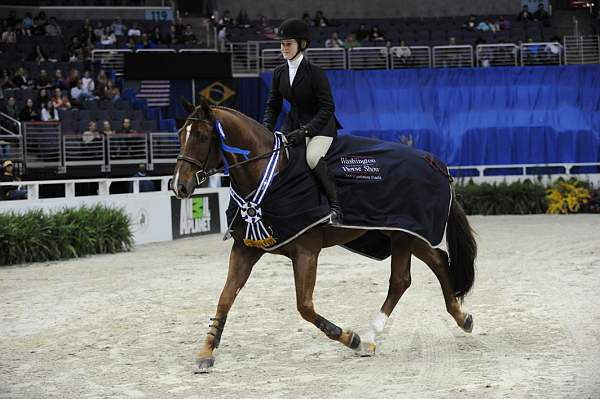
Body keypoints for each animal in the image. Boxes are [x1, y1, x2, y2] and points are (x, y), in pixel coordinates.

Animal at [173, 96, 478, 372]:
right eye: (180, 134)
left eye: (202, 136)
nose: (179, 186)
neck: (268, 178)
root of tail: (432, 160)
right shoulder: (246, 248)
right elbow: (225, 298)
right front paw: (206, 352)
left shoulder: (306, 249)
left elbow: (304, 306)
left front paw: (351, 339)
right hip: (401, 232)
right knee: (436, 261)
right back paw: (460, 318)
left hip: (403, 231)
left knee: (401, 280)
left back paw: (369, 337)